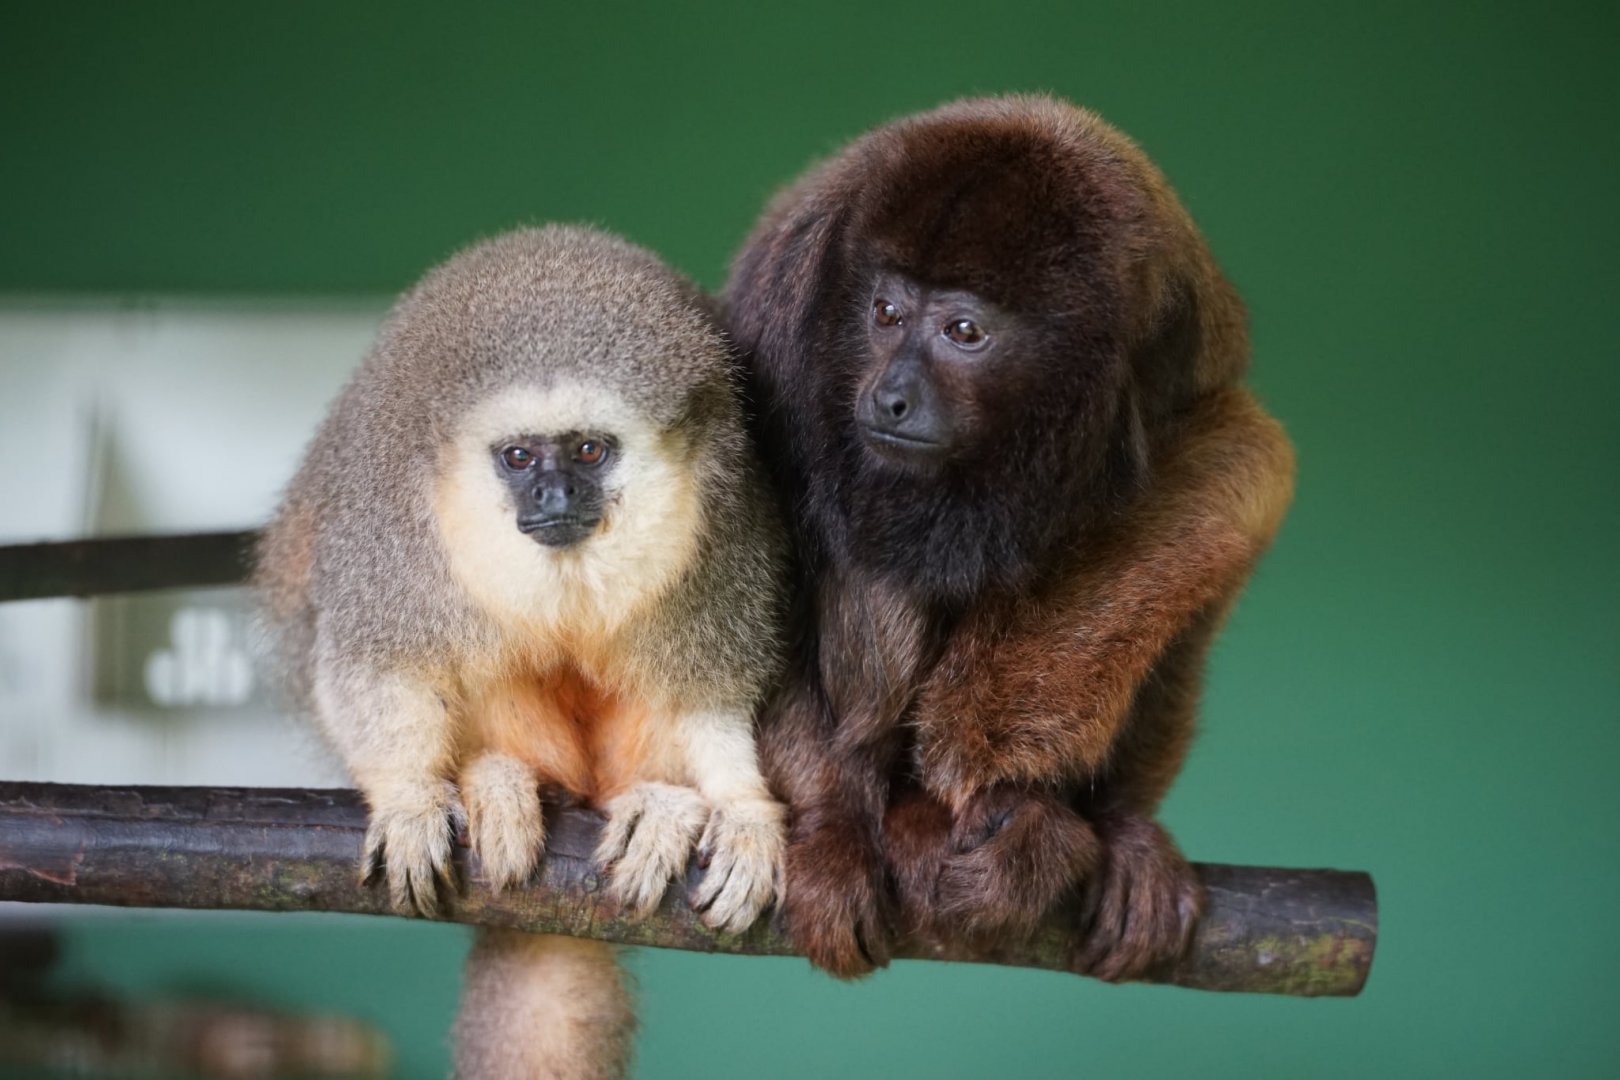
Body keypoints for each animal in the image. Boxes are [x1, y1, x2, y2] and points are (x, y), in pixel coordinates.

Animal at [255, 225, 788, 1079]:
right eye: (518, 458)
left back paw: (660, 806)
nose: (554, 497)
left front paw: (741, 810)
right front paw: (408, 795)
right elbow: (368, 662)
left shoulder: (726, 515)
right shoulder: (391, 520)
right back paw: (502, 779)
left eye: (589, 452)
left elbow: (709, 697)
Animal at [721, 95, 1295, 982]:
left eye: (964, 331)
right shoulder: (777, 323)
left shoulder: (1183, 337)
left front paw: (1116, 822)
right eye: (886, 314)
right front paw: (832, 825)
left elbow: (1224, 473)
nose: (889, 396)